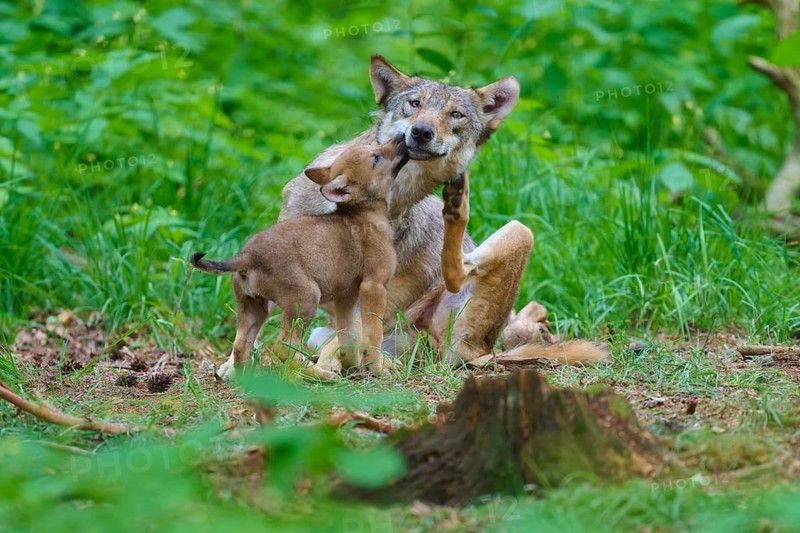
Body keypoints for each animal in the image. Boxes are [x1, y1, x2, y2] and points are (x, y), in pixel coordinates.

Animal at [216, 55, 608, 378]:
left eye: (455, 115)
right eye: (414, 104)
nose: (421, 132)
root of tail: (482, 350)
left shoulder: (367, 291)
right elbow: (252, 334)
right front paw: (234, 366)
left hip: (517, 235)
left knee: (457, 277)